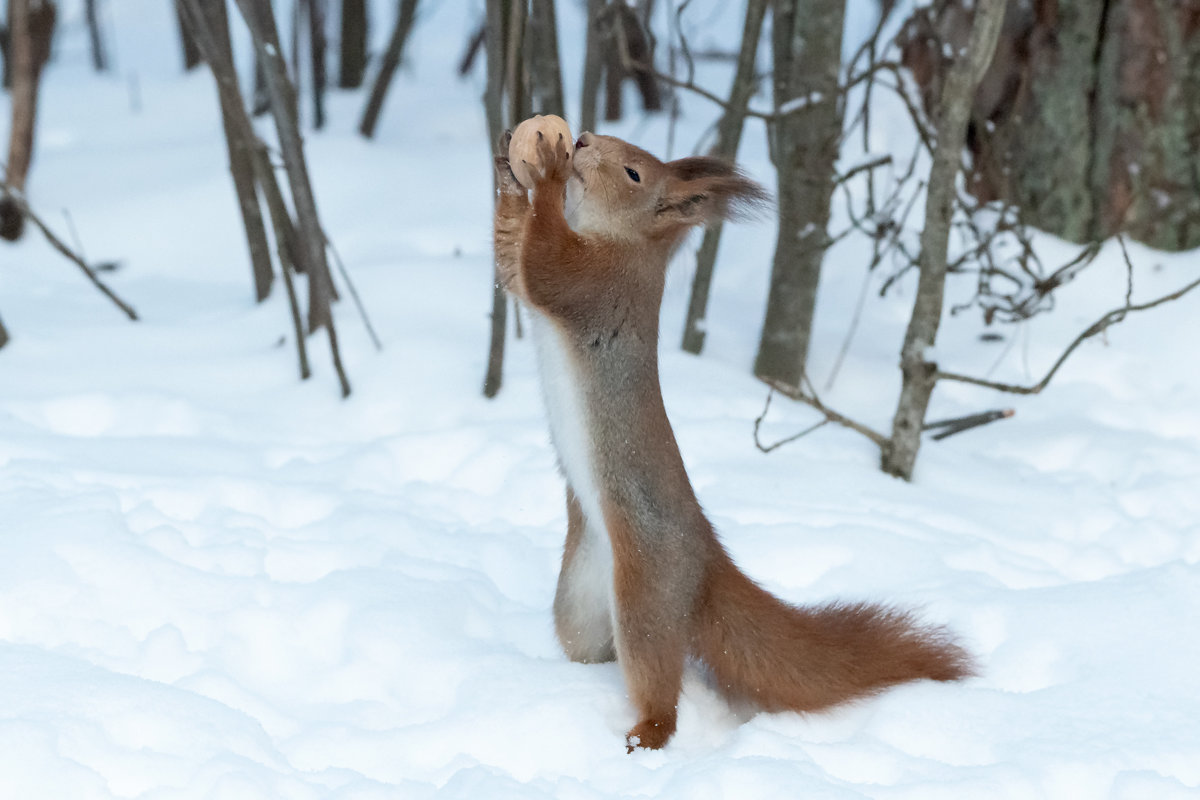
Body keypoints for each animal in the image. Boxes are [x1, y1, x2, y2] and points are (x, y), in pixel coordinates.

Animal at [492, 130, 969, 753]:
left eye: (633, 173)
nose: (583, 138)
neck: (625, 242)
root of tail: (706, 562)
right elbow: (511, 265)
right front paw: (508, 172)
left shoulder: (597, 284)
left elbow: (543, 264)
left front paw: (546, 174)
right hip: (578, 598)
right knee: (590, 647)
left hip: (646, 594)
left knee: (656, 681)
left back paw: (645, 735)